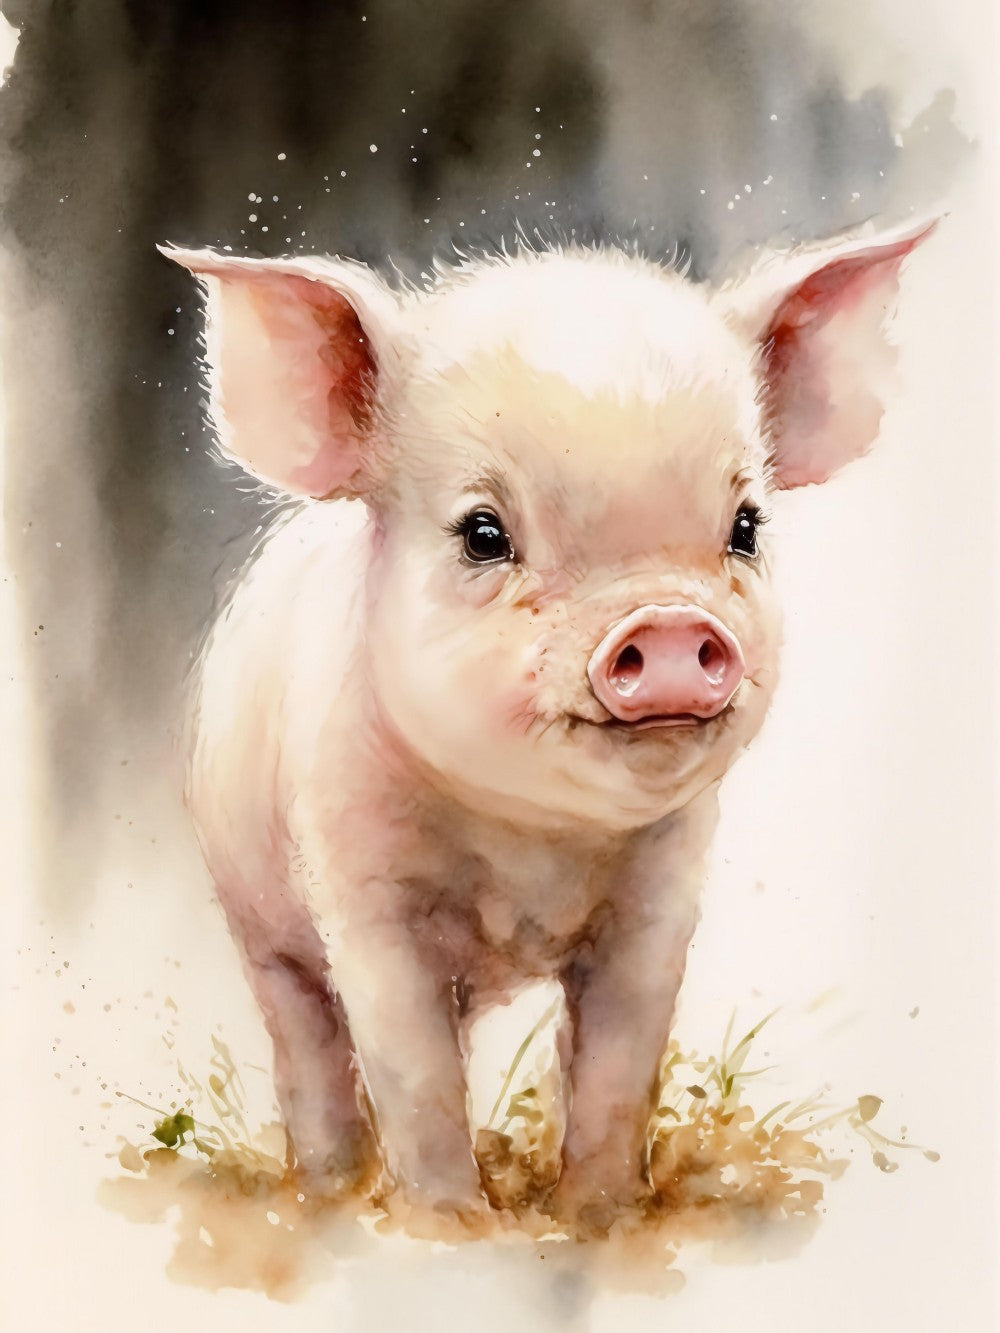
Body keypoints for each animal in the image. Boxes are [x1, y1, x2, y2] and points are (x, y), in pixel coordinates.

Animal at [162, 215, 932, 1235]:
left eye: (747, 526)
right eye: (484, 533)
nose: (670, 625)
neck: (533, 850)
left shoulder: (663, 891)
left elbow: (616, 1065)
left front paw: (597, 1219)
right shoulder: (357, 881)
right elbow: (412, 1069)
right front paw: (447, 1227)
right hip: (255, 916)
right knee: (308, 1043)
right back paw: (327, 1194)